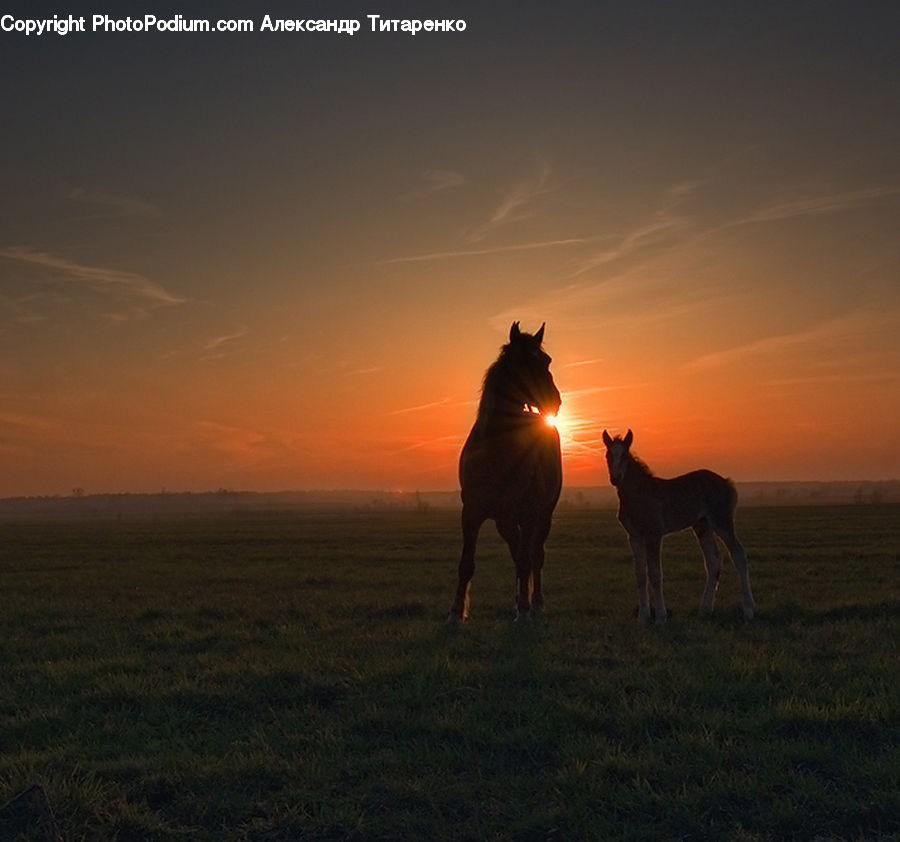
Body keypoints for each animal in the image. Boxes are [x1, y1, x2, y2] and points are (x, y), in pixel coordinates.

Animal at [449, 322, 563, 621]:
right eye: (523, 361)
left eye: (546, 361)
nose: (555, 402)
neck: (497, 449)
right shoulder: (472, 512)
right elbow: (466, 563)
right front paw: (456, 612)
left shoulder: (529, 511)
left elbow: (526, 560)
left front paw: (524, 609)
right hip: (505, 520)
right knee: (518, 550)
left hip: (542, 515)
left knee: (535, 554)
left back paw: (534, 602)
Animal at [602, 429, 755, 624]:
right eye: (608, 455)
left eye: (625, 456)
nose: (615, 478)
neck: (639, 495)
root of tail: (726, 482)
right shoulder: (634, 536)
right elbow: (640, 575)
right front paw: (643, 617)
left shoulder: (654, 535)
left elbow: (655, 574)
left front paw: (660, 617)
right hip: (702, 526)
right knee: (713, 560)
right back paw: (705, 610)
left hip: (722, 522)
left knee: (738, 555)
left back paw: (748, 610)